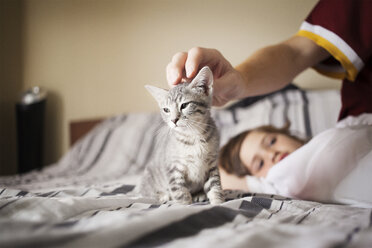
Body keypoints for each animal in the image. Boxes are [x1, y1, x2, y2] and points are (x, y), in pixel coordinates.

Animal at [136, 66, 225, 205]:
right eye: (166, 110)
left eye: (184, 105)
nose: (174, 120)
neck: (193, 136)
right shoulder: (173, 167)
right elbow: (179, 190)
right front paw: (185, 204)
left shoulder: (211, 164)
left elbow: (214, 185)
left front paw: (218, 202)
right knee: (146, 192)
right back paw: (163, 196)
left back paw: (199, 194)